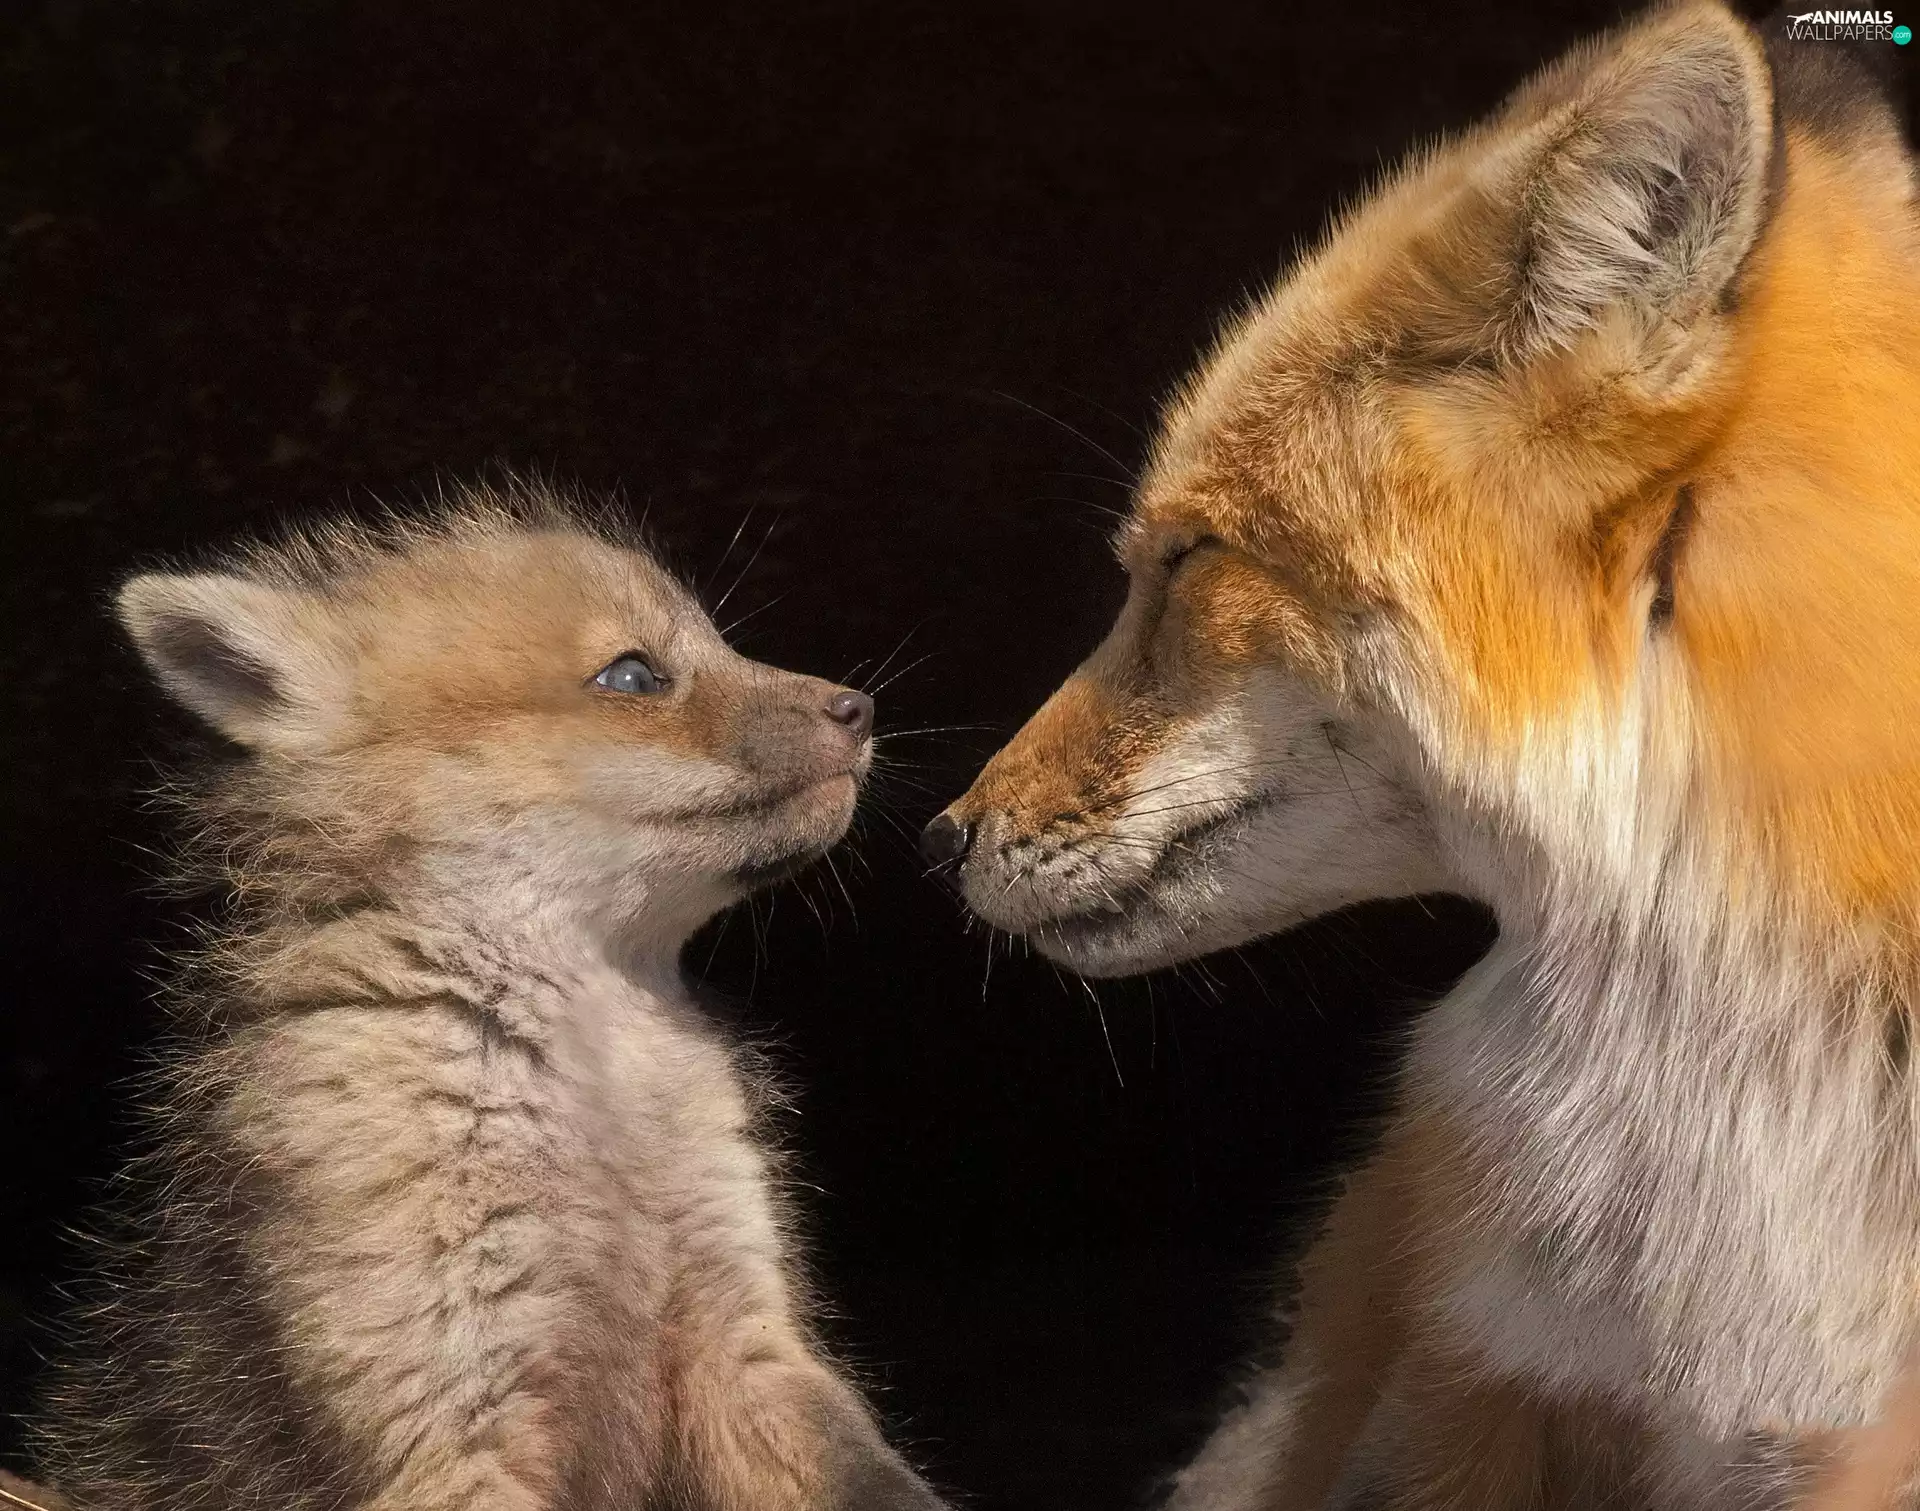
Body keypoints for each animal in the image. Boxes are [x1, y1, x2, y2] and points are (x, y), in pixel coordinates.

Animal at [18, 482, 948, 1511]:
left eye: (720, 644)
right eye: (634, 676)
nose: (861, 705)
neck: (599, 1086)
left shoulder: (746, 1337)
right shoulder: (452, 1415)